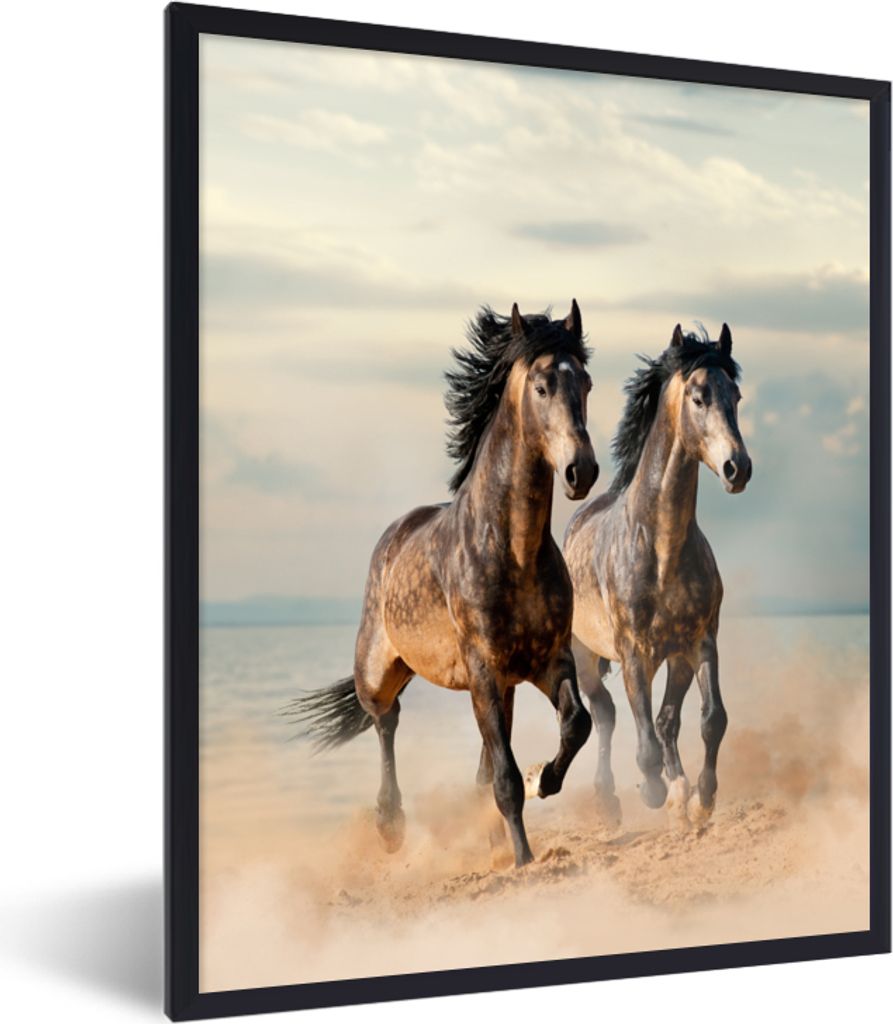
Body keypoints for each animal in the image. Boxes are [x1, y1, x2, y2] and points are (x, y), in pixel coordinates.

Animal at [284, 302, 598, 867]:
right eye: (542, 386)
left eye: (584, 382)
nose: (579, 471)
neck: (513, 551)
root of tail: (392, 536)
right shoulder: (482, 670)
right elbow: (504, 778)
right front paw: (523, 858)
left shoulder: (547, 659)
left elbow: (574, 724)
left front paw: (545, 779)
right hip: (379, 669)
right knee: (386, 720)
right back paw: (390, 826)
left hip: (502, 683)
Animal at [563, 323, 751, 829]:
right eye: (699, 397)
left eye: (736, 396)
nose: (738, 468)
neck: (661, 548)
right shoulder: (634, 653)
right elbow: (642, 738)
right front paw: (652, 791)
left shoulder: (700, 641)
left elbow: (712, 719)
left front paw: (701, 798)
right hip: (586, 656)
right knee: (605, 715)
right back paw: (610, 800)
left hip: (677, 657)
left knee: (668, 721)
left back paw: (681, 790)